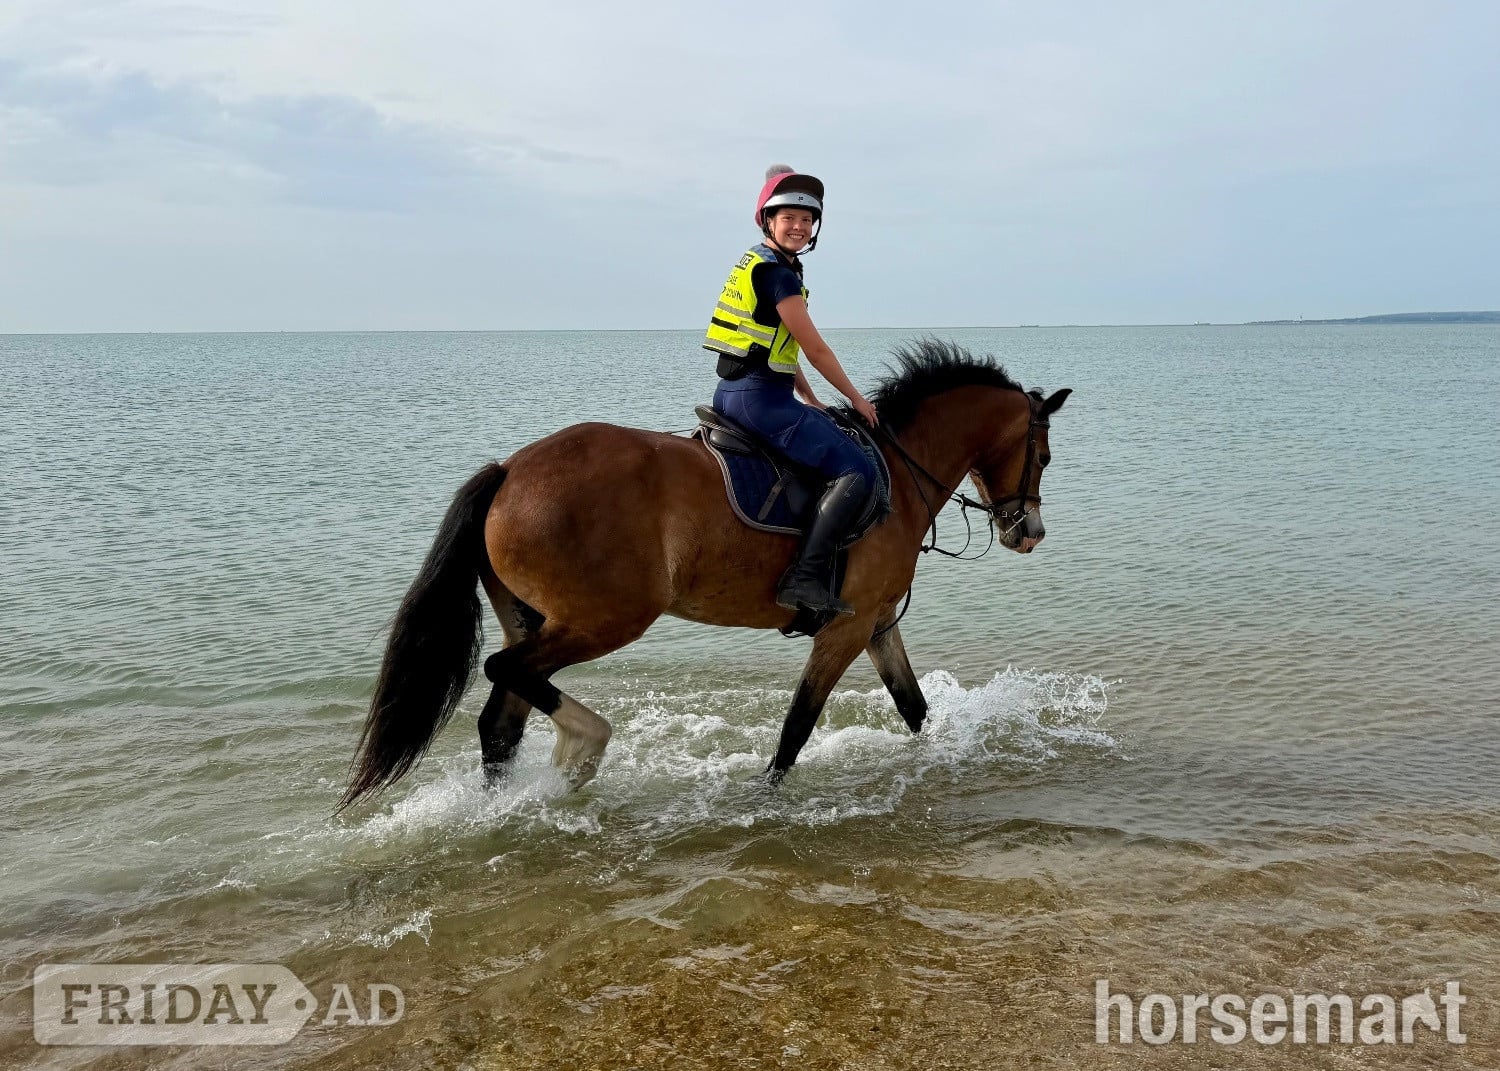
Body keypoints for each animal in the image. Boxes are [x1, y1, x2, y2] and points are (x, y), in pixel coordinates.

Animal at [339, 339, 1070, 811]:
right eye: (1043, 454)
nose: (1028, 532)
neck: (898, 467)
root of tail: (509, 469)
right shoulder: (846, 626)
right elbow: (797, 726)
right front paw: (766, 801)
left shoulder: (875, 623)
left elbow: (913, 708)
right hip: (604, 618)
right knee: (505, 672)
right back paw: (582, 746)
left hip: (535, 616)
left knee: (501, 717)